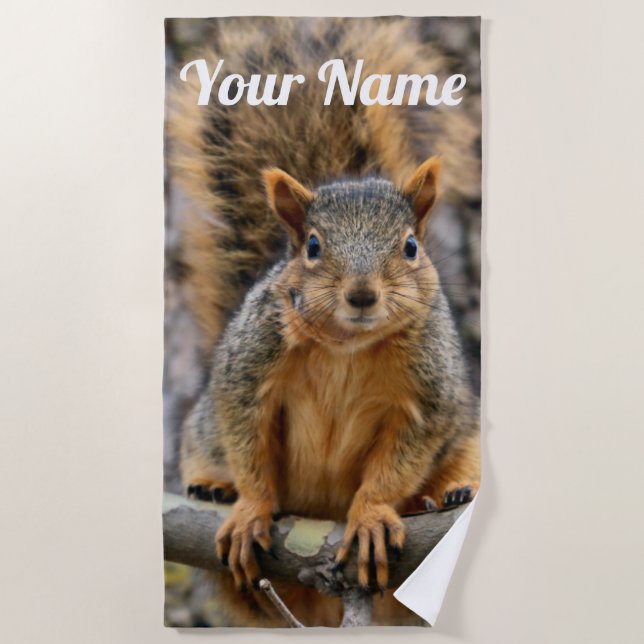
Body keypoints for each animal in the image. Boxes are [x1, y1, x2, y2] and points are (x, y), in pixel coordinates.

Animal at [167, 17, 481, 627]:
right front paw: (250, 508)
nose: (360, 295)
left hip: (468, 428)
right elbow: (247, 441)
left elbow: (399, 460)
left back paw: (448, 493)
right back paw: (213, 489)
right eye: (312, 247)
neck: (345, 346)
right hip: (200, 431)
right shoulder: (249, 367)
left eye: (410, 247)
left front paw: (373, 514)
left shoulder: (428, 394)